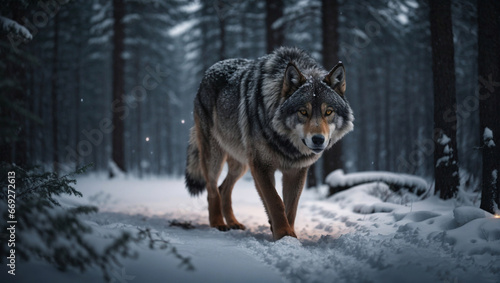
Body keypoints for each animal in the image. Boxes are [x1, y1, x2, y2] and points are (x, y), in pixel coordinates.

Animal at [186, 47, 354, 241]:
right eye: (303, 112)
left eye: (328, 112)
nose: (318, 139)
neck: (286, 144)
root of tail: (208, 72)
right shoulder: (261, 166)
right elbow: (275, 202)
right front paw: (283, 233)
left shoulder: (296, 171)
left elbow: (291, 208)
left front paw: (289, 236)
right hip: (215, 157)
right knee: (212, 189)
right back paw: (218, 224)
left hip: (241, 165)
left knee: (223, 189)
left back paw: (233, 222)